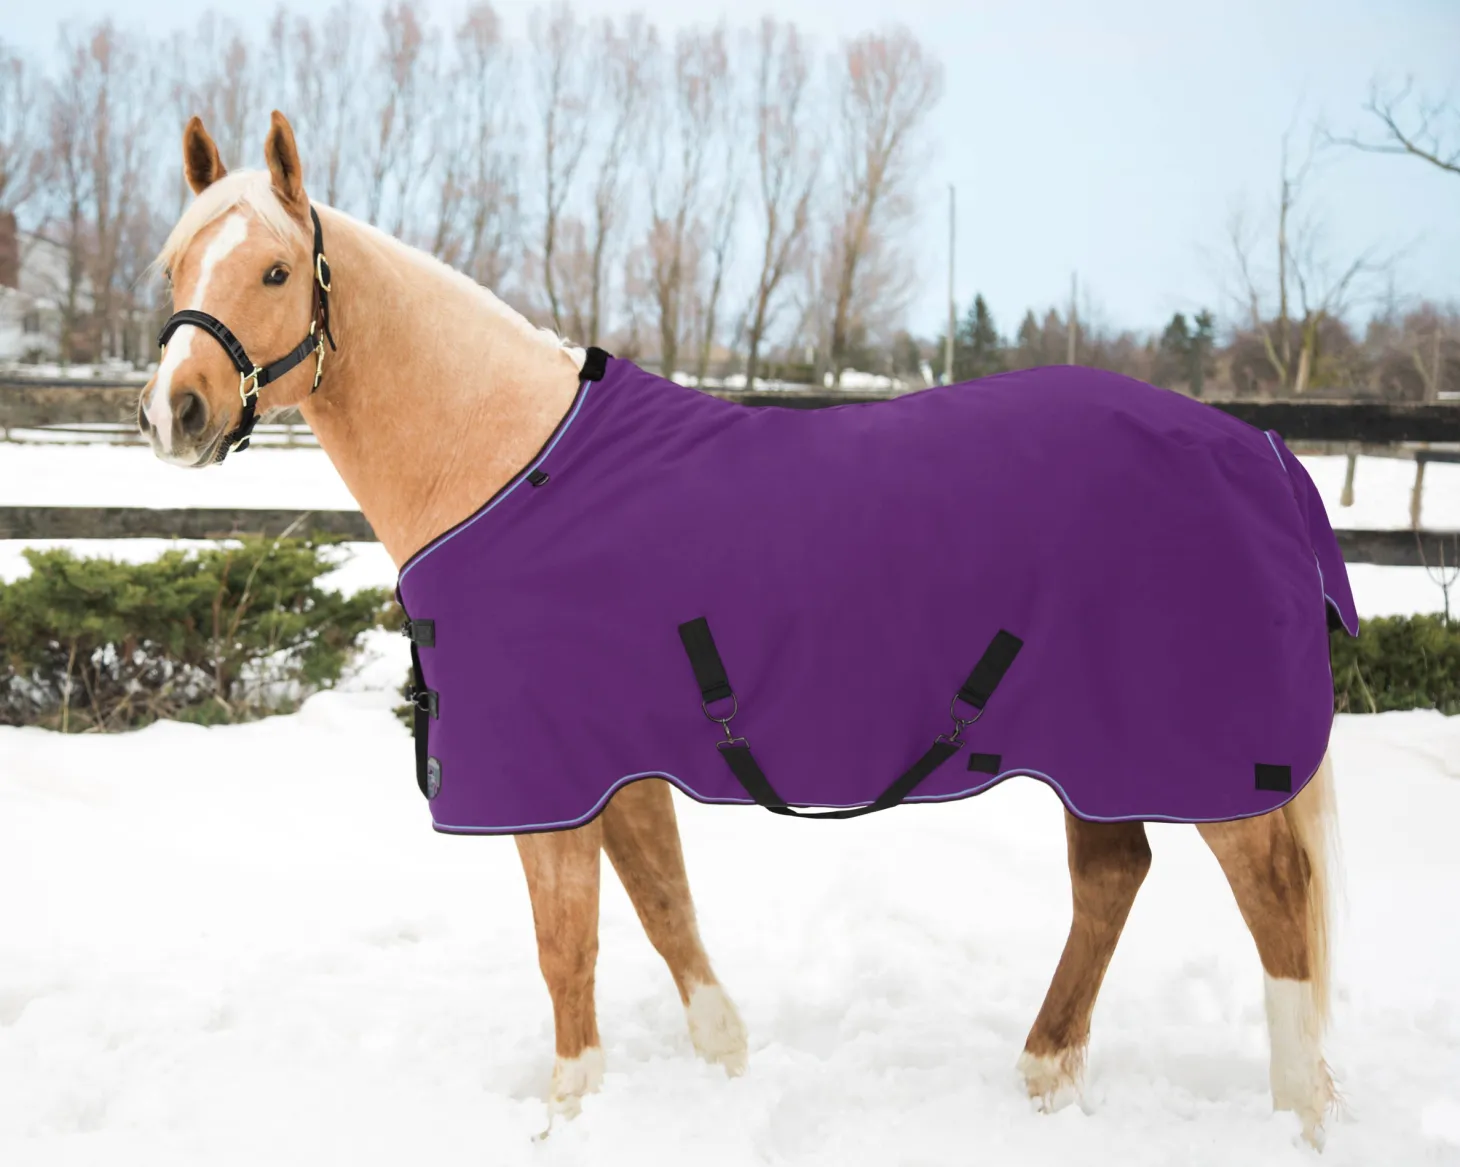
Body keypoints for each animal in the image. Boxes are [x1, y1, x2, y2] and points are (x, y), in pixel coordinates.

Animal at [137, 111, 1340, 1147]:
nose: (174, 412)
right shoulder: (615, 764)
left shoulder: (547, 779)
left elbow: (566, 946)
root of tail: (1261, 453)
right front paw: (724, 1065)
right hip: (1094, 751)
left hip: (1201, 757)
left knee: (1275, 903)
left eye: (276, 271)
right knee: (1112, 875)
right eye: (173, 267)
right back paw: (1043, 1077)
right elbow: (664, 907)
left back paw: (1298, 1117)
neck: (510, 467)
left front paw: (568, 1114)